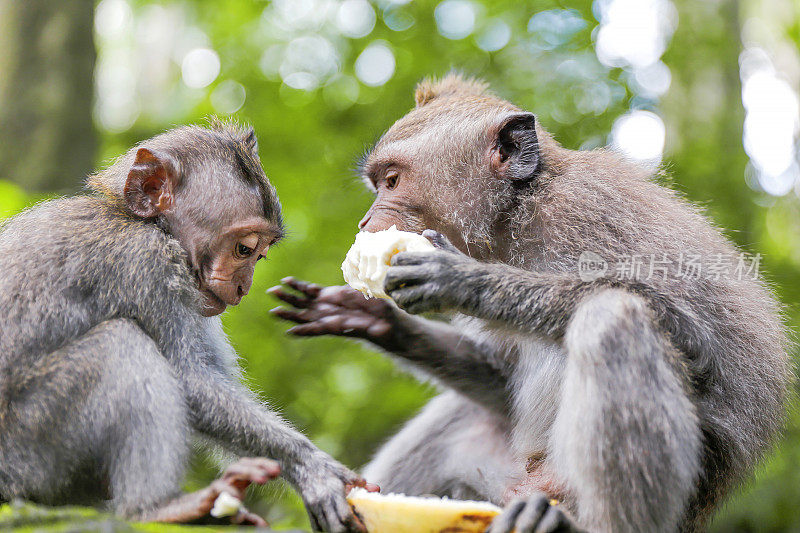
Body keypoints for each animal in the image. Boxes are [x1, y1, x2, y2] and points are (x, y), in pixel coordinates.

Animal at [0, 121, 368, 532]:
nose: (243, 287)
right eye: (244, 249)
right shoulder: (146, 262)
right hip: (27, 449)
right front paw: (313, 469)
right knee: (118, 345)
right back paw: (155, 507)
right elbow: (191, 381)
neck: (135, 219)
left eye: (260, 255)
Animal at [272, 75, 792, 532]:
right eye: (377, 183)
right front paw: (373, 320)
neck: (520, 213)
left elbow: (693, 337)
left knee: (612, 318)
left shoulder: (588, 213)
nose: (364, 223)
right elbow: (502, 380)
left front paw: (467, 280)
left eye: (393, 181)